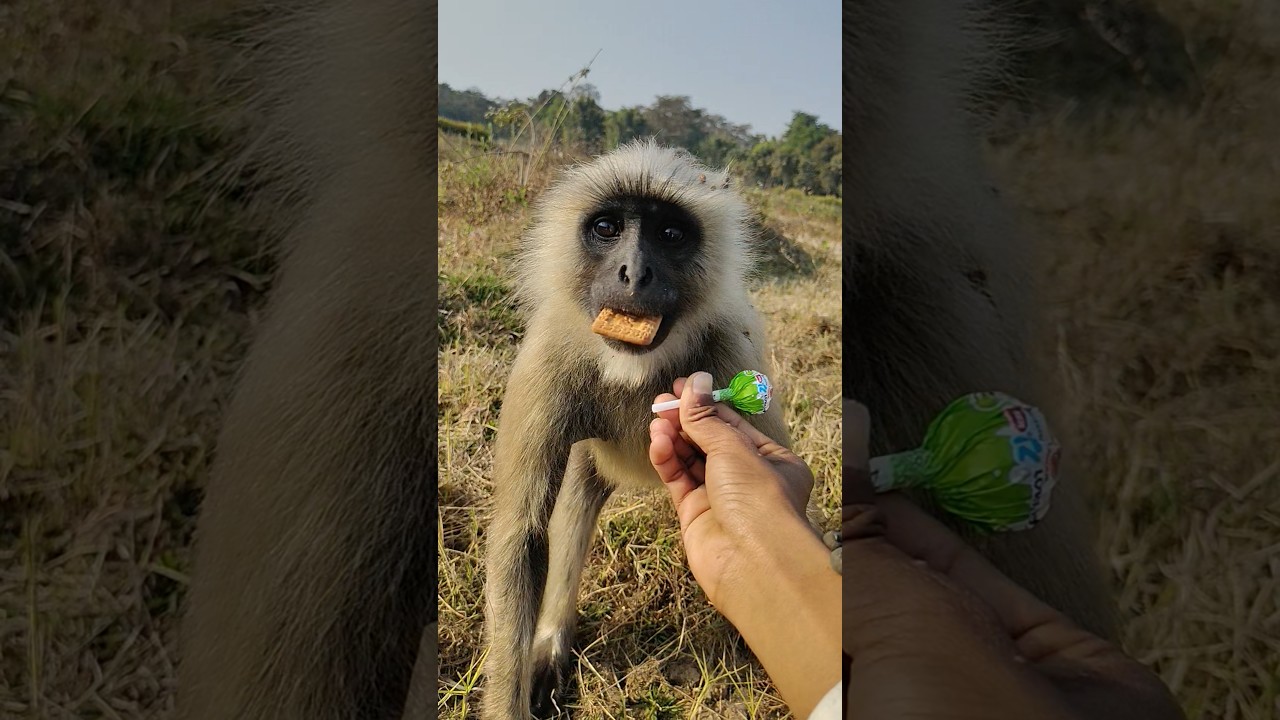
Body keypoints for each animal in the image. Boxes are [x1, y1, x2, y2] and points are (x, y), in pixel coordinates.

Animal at [480, 139, 810, 719]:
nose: (633, 273)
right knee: (574, 502)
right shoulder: (549, 354)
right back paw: (551, 646)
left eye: (670, 234)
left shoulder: (730, 353)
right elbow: (522, 536)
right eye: (608, 227)